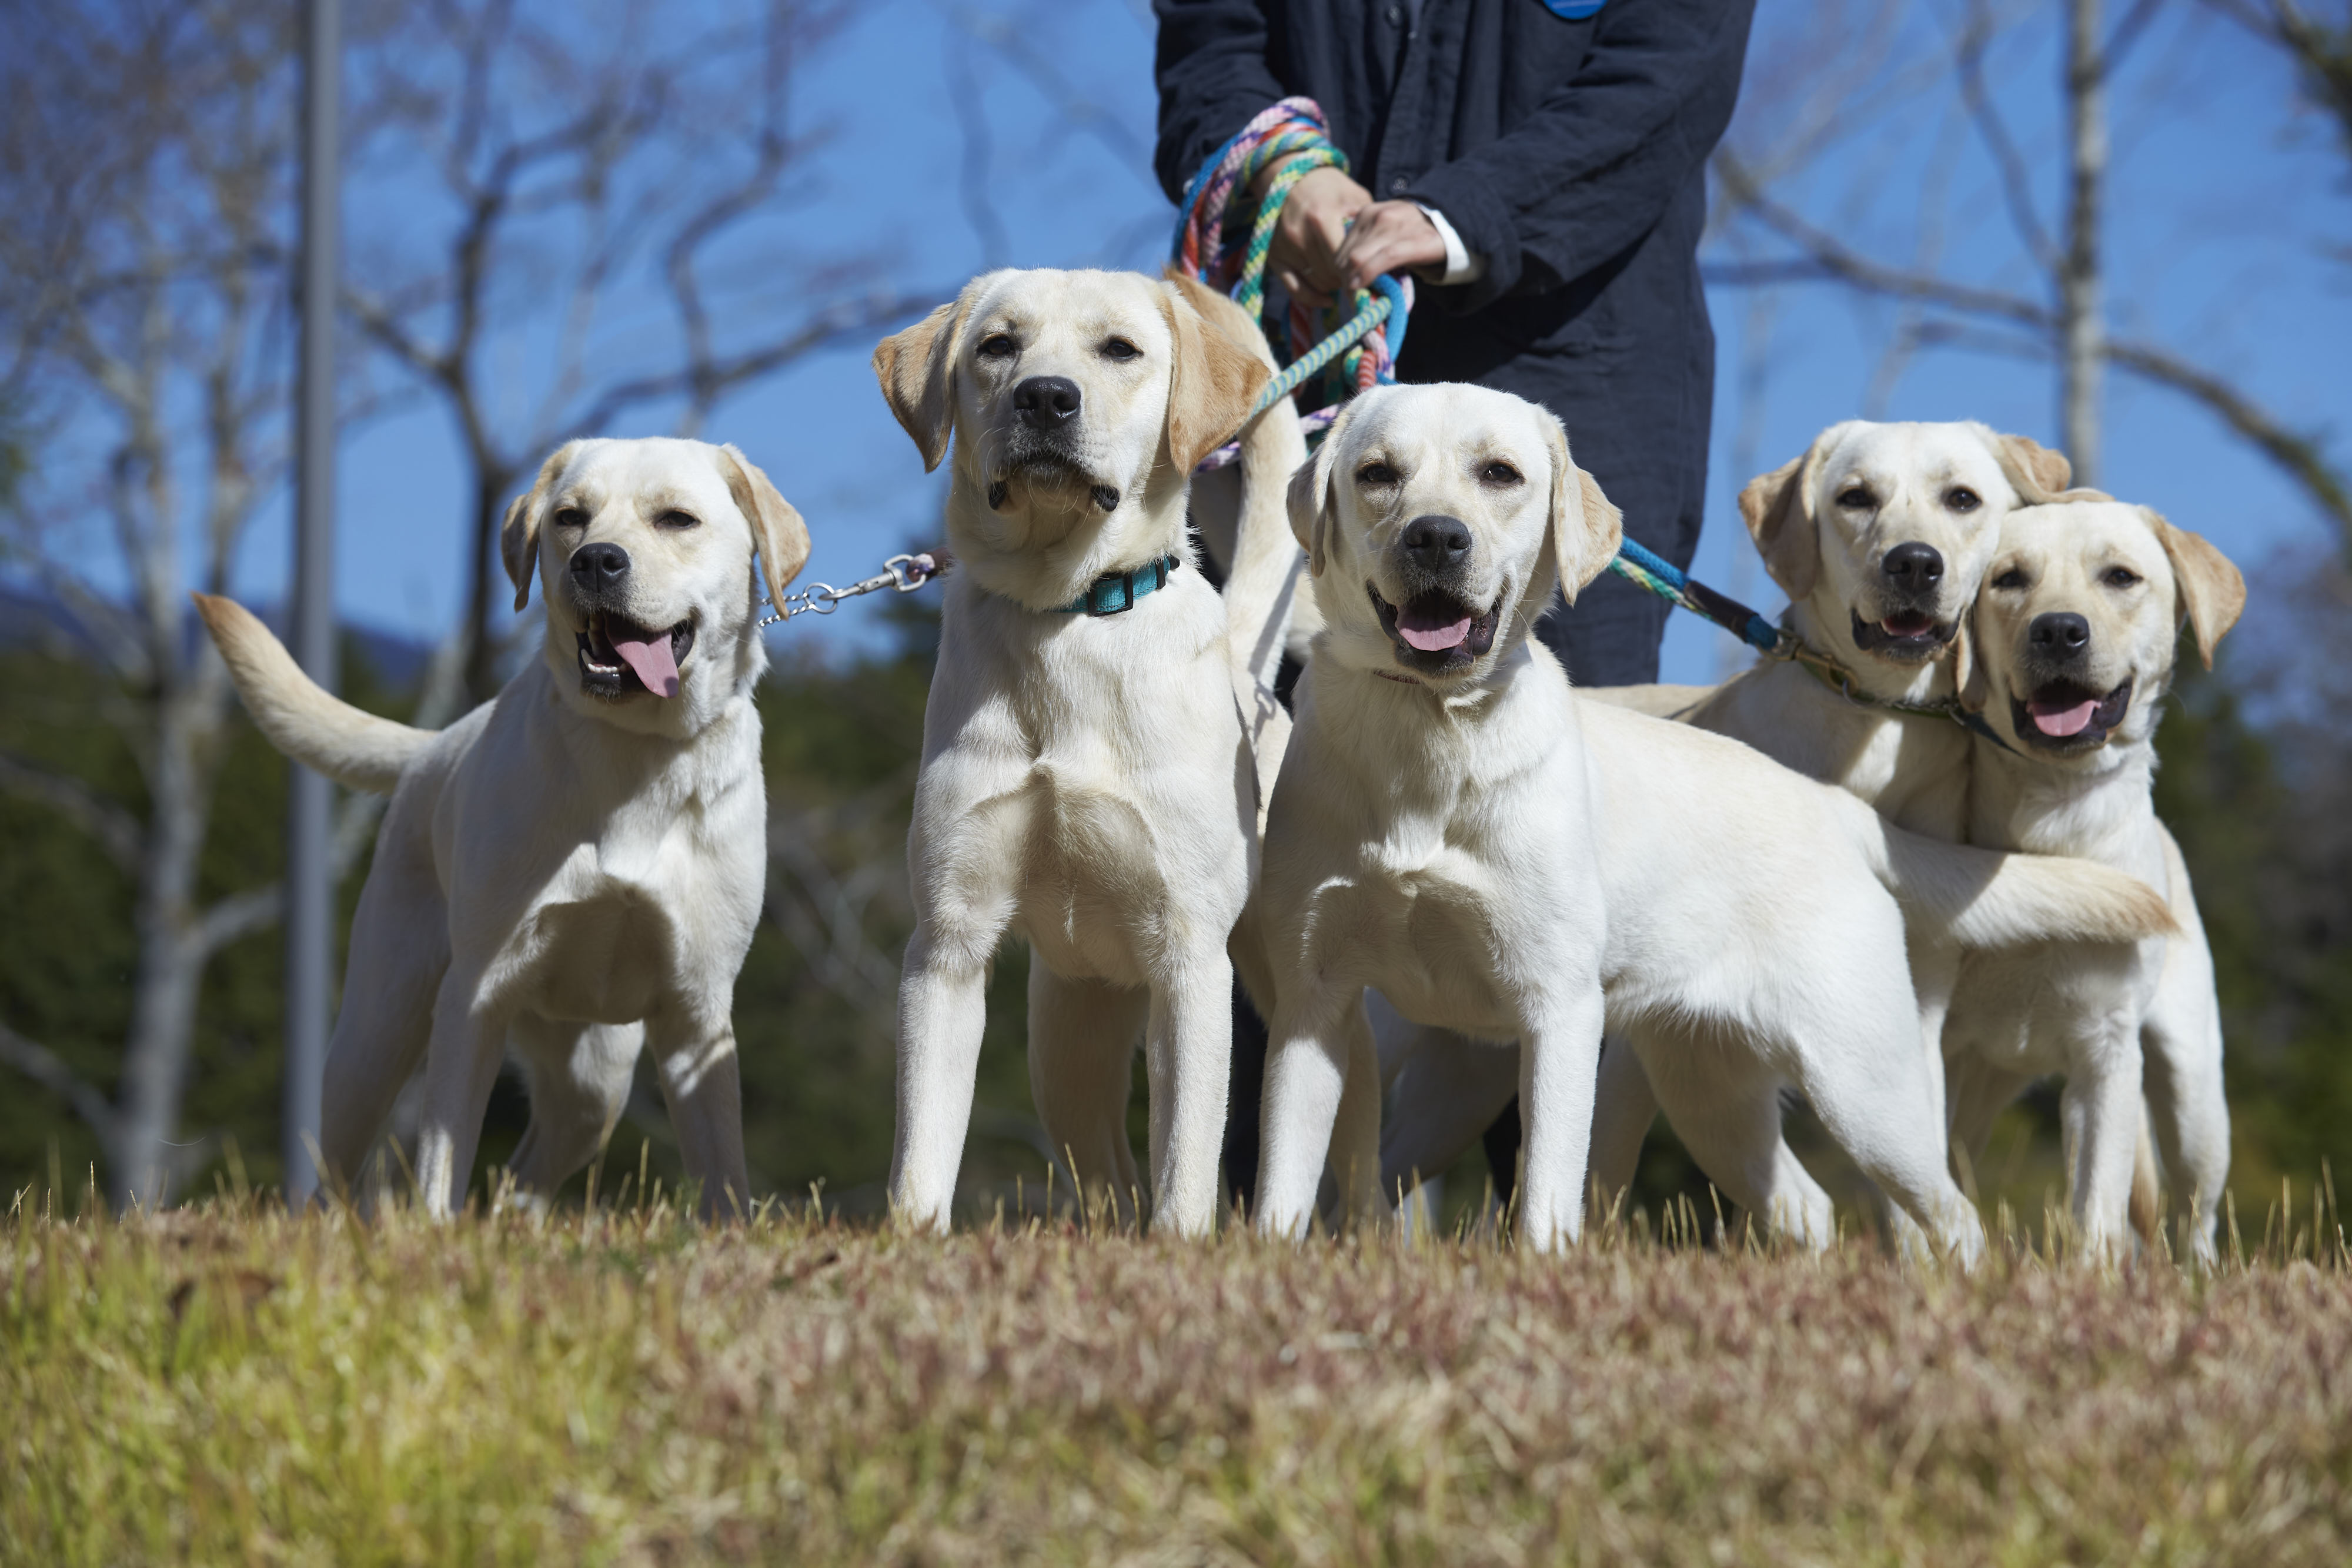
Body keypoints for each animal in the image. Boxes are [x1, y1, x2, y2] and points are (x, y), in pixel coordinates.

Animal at [188, 434, 809, 1222]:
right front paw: (433, 1232)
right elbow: (443, 1156)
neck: (636, 755)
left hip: (595, 1085)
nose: (596, 561)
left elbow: (723, 1171)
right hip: (375, 1037)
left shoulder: (697, 1015)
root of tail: (432, 747)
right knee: (332, 1172)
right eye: (570, 518)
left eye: (676, 519)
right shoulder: (477, 993)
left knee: (523, 1176)